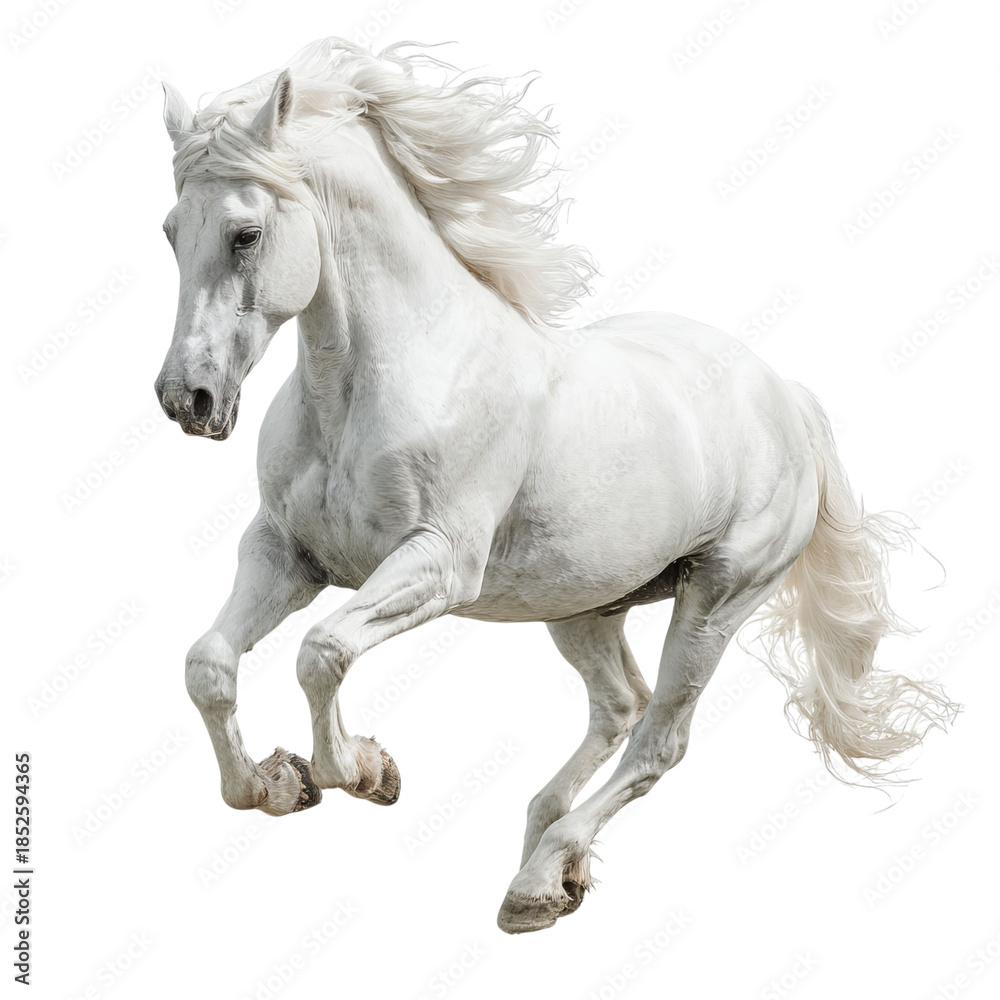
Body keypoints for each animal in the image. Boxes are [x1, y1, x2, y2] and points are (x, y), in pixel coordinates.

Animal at [155, 38, 957, 934]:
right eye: (171, 232)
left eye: (246, 233)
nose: (187, 400)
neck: (372, 386)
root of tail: (788, 397)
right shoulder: (286, 554)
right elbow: (209, 664)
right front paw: (276, 783)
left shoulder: (439, 565)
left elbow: (321, 652)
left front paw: (363, 770)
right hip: (582, 604)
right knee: (619, 704)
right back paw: (552, 863)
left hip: (720, 595)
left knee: (660, 737)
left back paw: (539, 879)